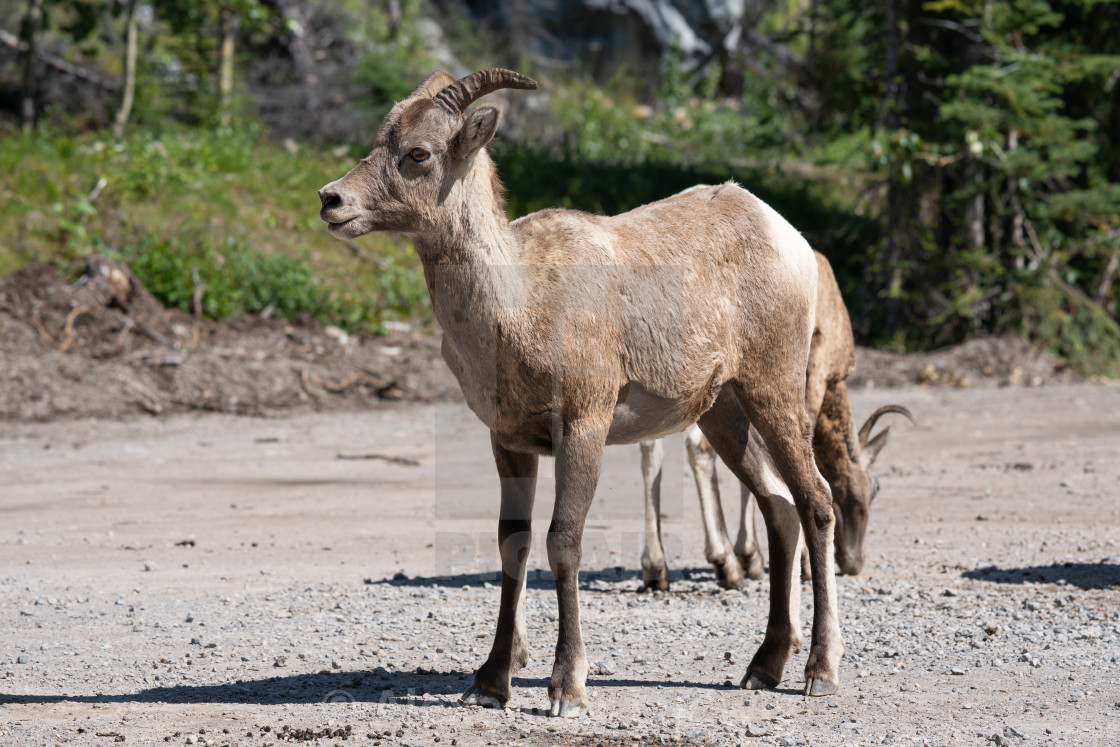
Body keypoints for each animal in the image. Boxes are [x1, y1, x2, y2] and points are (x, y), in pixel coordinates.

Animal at [315, 71, 842, 716]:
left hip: (774, 390)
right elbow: (512, 544)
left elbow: (562, 540)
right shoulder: (509, 442)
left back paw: (820, 672)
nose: (331, 200)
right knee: (778, 506)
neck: (519, 303)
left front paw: (566, 687)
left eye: (419, 153)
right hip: (723, 413)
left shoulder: (583, 427)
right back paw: (762, 668)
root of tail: (785, 234)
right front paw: (490, 682)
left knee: (815, 501)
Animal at [640, 250, 918, 591]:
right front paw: (779, 559)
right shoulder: (812, 369)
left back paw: (656, 567)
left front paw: (754, 556)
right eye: (876, 486)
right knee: (697, 446)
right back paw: (725, 563)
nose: (854, 562)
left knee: (651, 448)